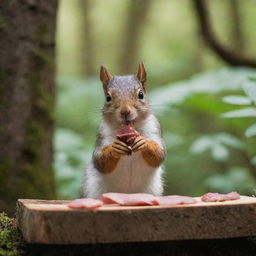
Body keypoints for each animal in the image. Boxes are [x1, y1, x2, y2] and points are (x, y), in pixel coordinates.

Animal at [83, 62, 165, 198]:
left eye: (141, 94)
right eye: (108, 97)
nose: (125, 111)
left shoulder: (153, 129)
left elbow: (159, 154)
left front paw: (144, 143)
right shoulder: (102, 135)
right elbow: (99, 160)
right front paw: (114, 148)